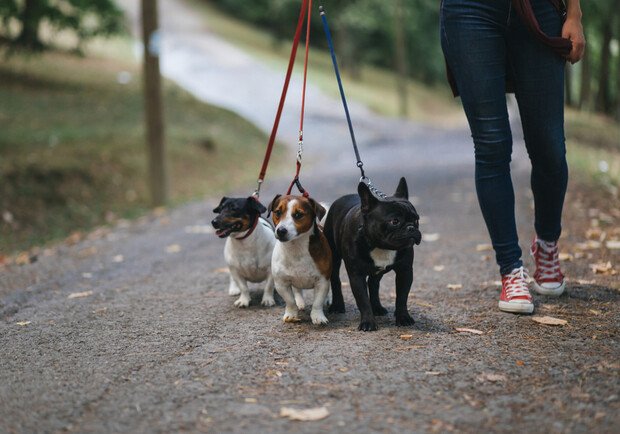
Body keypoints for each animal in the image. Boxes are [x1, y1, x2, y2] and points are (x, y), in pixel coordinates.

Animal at [268, 195, 332, 324]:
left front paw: (318, 316)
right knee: (297, 290)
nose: (281, 231)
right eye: (278, 212)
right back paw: (300, 302)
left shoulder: (322, 281)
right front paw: (291, 314)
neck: (296, 247)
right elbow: (290, 301)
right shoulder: (281, 283)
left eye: (298, 214)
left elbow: (318, 302)